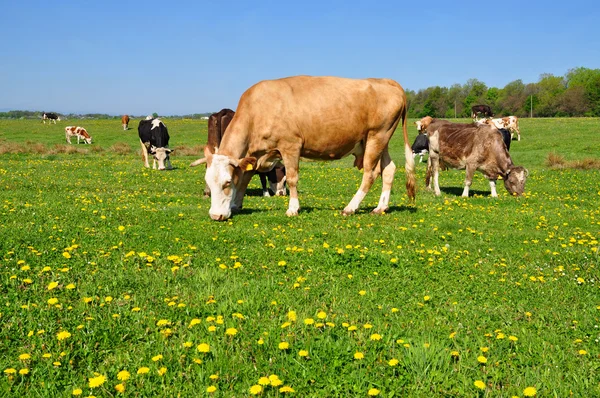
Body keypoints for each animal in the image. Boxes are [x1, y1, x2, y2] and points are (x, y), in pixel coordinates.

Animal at [192, 75, 418, 221]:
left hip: (376, 136)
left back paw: (350, 208)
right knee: (388, 170)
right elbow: (246, 178)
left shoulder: (290, 145)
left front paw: (293, 208)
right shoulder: (255, 154)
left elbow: (292, 179)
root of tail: (387, 81)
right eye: (208, 184)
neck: (258, 109)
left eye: (226, 182)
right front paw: (236, 205)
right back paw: (381, 207)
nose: (215, 215)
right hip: (380, 140)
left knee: (370, 173)